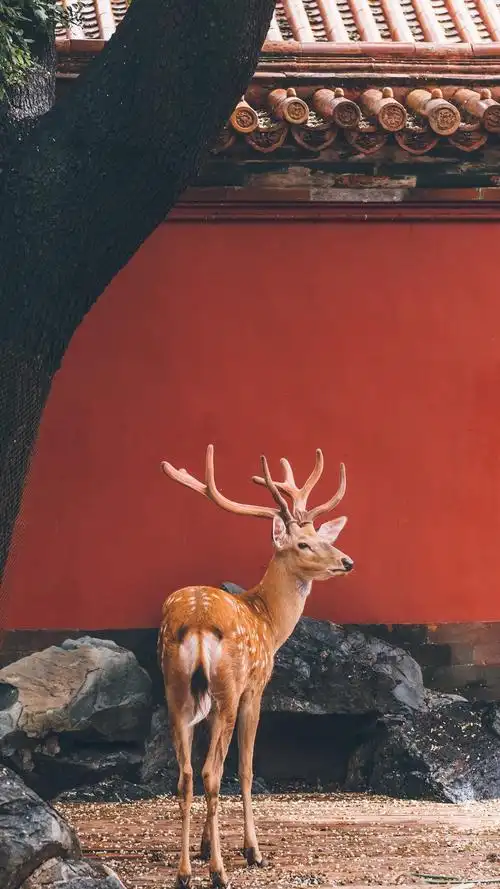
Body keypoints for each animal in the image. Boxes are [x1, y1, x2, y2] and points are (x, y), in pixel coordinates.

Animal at [158, 444, 353, 889]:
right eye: (303, 544)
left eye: (323, 537)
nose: (347, 561)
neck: (268, 620)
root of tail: (197, 621)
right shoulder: (256, 687)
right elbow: (246, 768)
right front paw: (251, 851)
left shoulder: (203, 704)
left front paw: (203, 848)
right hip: (228, 687)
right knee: (213, 772)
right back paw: (219, 872)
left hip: (176, 689)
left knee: (186, 775)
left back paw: (184, 872)